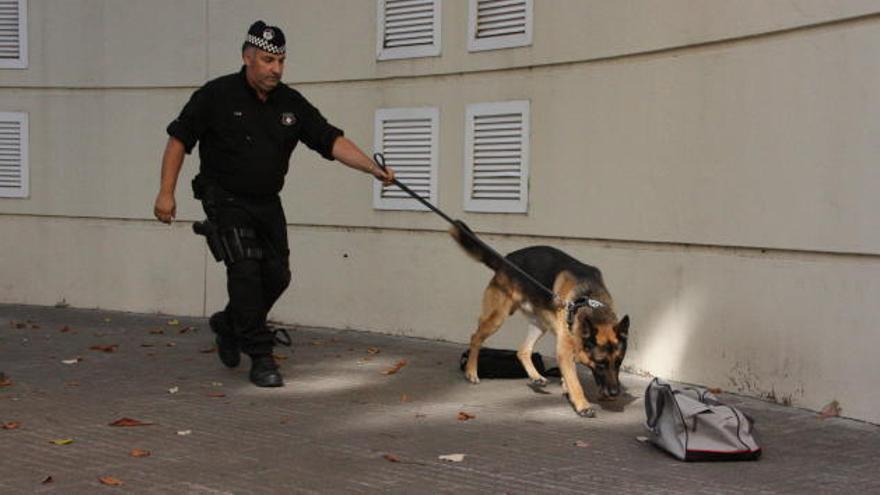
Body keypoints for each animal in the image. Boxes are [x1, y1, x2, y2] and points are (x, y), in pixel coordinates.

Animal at [450, 222, 628, 418]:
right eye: (600, 363)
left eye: (619, 362)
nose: (615, 393)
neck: (589, 299)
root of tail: (505, 261)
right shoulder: (564, 350)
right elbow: (575, 381)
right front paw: (582, 404)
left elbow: (568, 375)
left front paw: (567, 389)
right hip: (498, 318)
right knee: (476, 337)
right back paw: (471, 371)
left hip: (539, 325)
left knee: (522, 351)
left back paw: (536, 377)